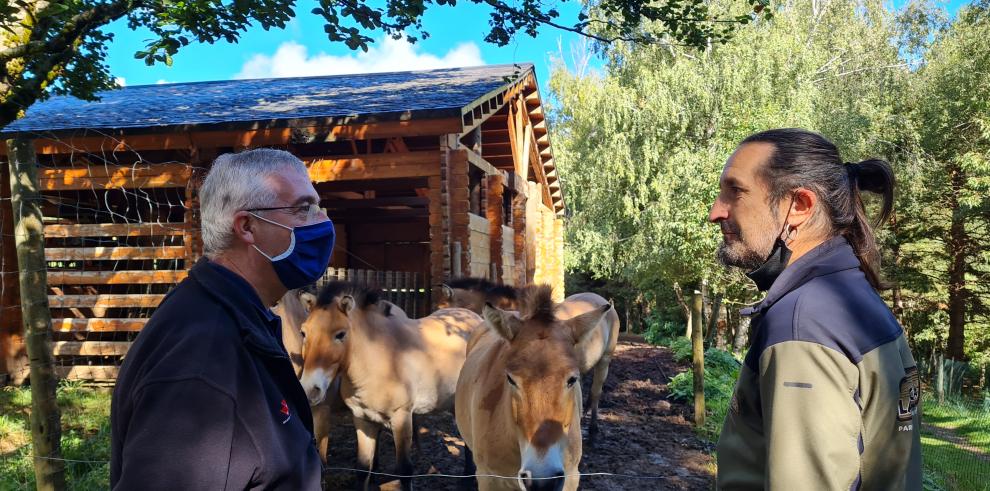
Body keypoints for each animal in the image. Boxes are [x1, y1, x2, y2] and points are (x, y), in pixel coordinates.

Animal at [298, 282, 484, 490]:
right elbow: (362, 468)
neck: (380, 360)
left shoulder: (401, 418)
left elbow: (404, 470)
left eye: (340, 334)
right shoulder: (362, 419)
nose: (310, 389)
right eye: (303, 332)